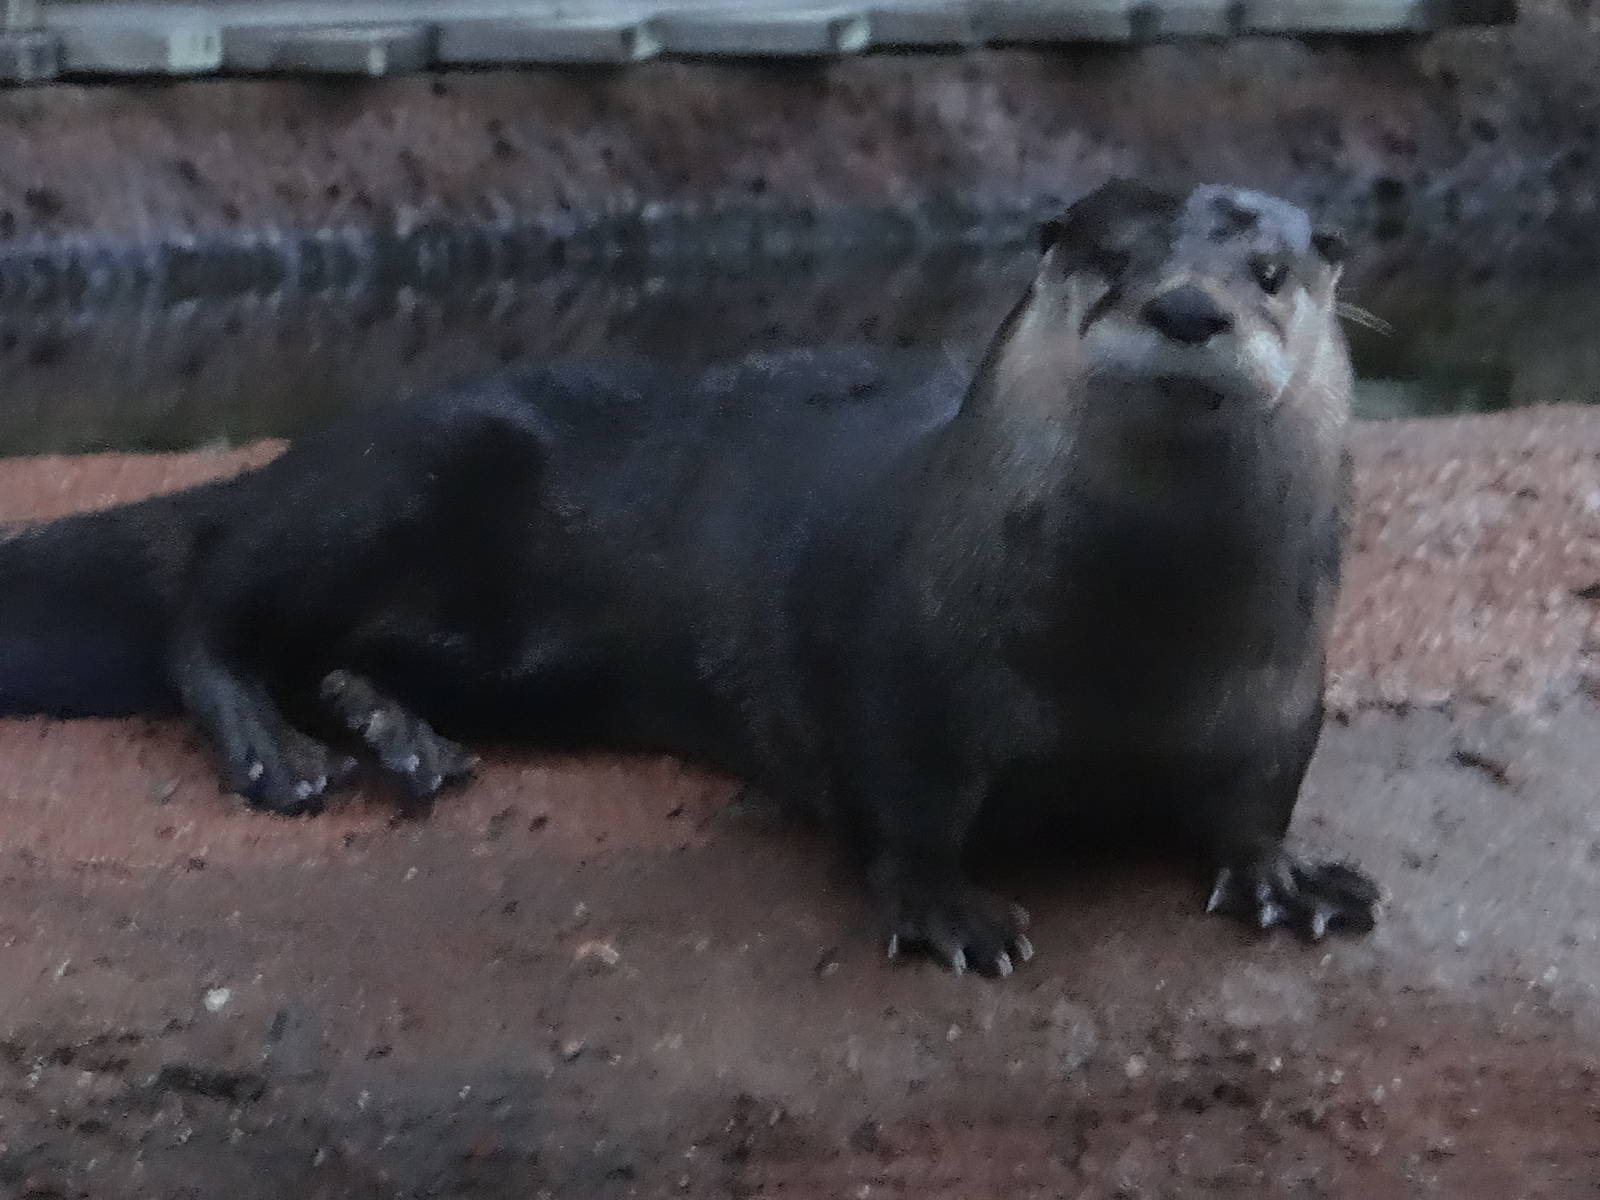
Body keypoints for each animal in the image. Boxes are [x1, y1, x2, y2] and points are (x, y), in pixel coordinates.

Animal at [0, 179, 1379, 976]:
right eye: (1109, 260)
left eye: (1269, 273)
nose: (1189, 308)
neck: (1132, 644)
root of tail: (290, 460)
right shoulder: (902, 677)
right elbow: (905, 805)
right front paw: (948, 908)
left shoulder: (1277, 689)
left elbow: (1259, 791)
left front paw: (1285, 876)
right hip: (385, 479)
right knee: (207, 614)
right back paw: (279, 755)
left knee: (335, 656)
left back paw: (405, 741)